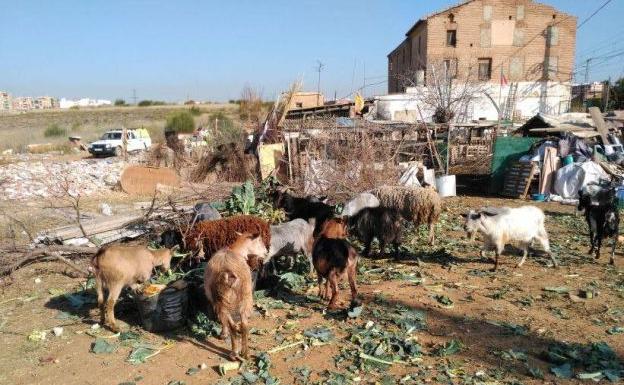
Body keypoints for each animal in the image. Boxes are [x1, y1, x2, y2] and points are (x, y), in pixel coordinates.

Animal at [202, 231, 266, 360]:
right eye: (260, 241)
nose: (266, 252)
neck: (235, 250)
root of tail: (227, 272)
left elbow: (223, 320)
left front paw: (223, 334)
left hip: (223, 299)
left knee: (232, 324)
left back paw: (234, 353)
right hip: (245, 294)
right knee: (244, 325)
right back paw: (245, 353)